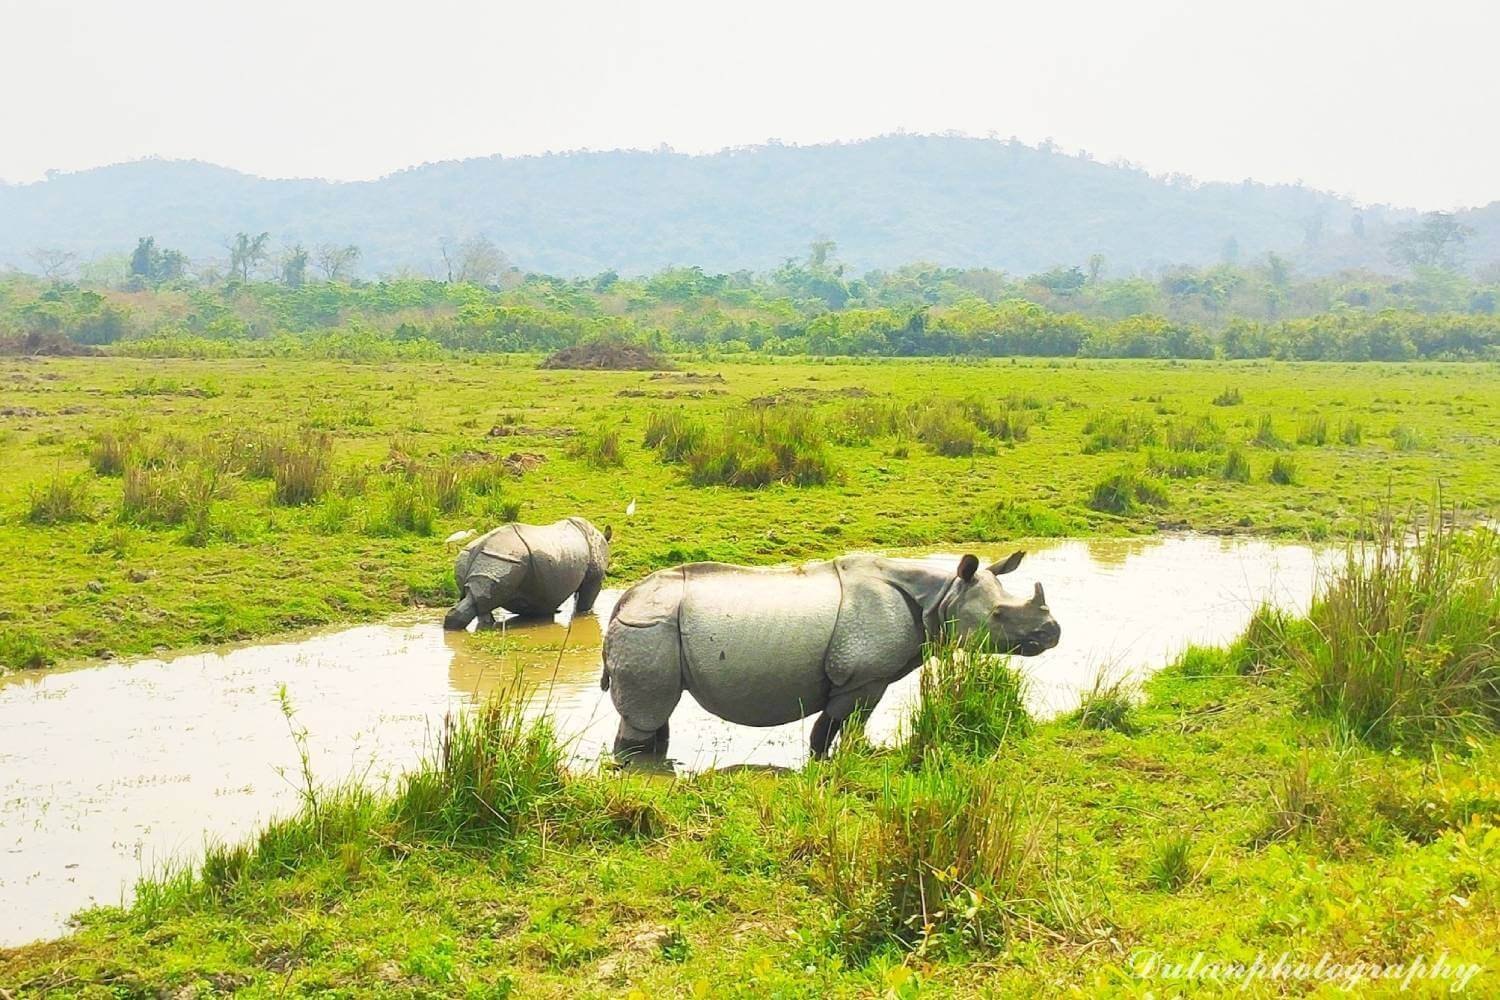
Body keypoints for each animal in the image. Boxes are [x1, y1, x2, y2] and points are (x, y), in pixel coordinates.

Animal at [441, 521, 612, 629]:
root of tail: (480, 546)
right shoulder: (594, 576)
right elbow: (586, 600)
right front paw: (585, 614)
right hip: (501, 559)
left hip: (475, 558)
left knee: (479, 602)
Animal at [597, 551, 1056, 755]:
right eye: (999, 615)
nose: (1053, 632)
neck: (941, 598)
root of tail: (622, 602)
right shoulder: (863, 677)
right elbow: (841, 726)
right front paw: (847, 759)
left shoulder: (857, 679)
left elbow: (832, 729)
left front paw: (829, 760)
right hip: (649, 629)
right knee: (646, 714)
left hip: (651, 627)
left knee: (657, 715)